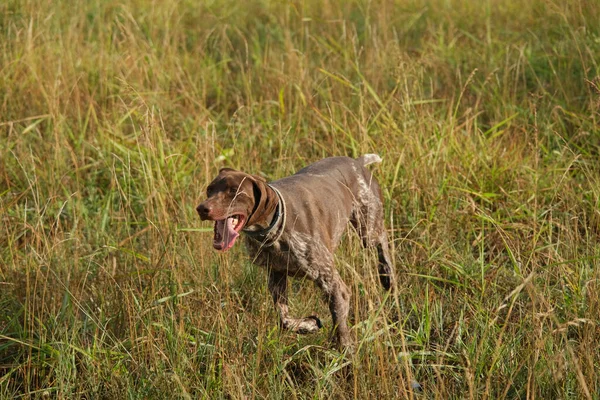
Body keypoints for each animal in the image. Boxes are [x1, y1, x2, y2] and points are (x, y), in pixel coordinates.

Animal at [197, 155, 394, 348]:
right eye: (210, 189)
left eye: (235, 191)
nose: (202, 208)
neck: (275, 228)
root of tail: (357, 162)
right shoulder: (276, 276)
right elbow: (284, 320)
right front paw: (309, 325)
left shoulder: (332, 283)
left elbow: (341, 326)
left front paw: (346, 351)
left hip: (368, 229)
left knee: (382, 240)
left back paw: (387, 274)